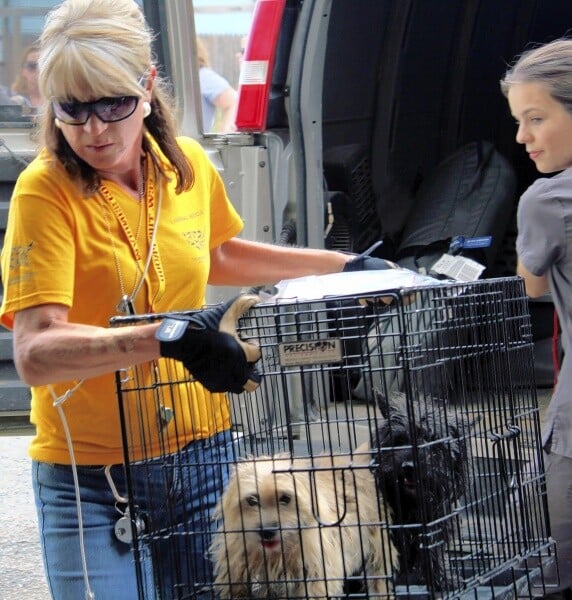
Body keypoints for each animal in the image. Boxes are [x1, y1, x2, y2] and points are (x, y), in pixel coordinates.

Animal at [210, 446, 398, 596]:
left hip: (377, 550)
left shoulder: (316, 573)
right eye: (252, 500)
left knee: (378, 579)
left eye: (285, 498)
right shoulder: (237, 573)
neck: (277, 553)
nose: (267, 532)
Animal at [370, 390, 474, 592]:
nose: (409, 466)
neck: (411, 502)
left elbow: (433, 553)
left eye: (433, 443)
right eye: (400, 440)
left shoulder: (436, 524)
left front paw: (442, 579)